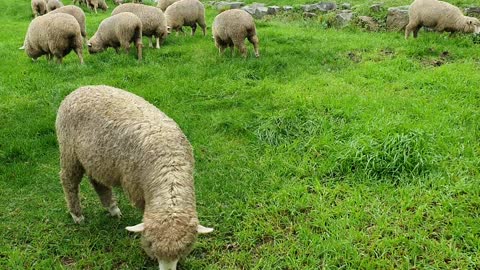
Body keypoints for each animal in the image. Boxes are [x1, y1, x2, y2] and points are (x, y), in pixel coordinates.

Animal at [55, 86, 214, 270]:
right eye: (151, 244)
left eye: (186, 248)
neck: (169, 167)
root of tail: (79, 89)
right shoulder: (136, 188)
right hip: (69, 151)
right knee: (69, 181)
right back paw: (77, 215)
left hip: (96, 159)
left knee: (98, 182)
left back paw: (112, 209)